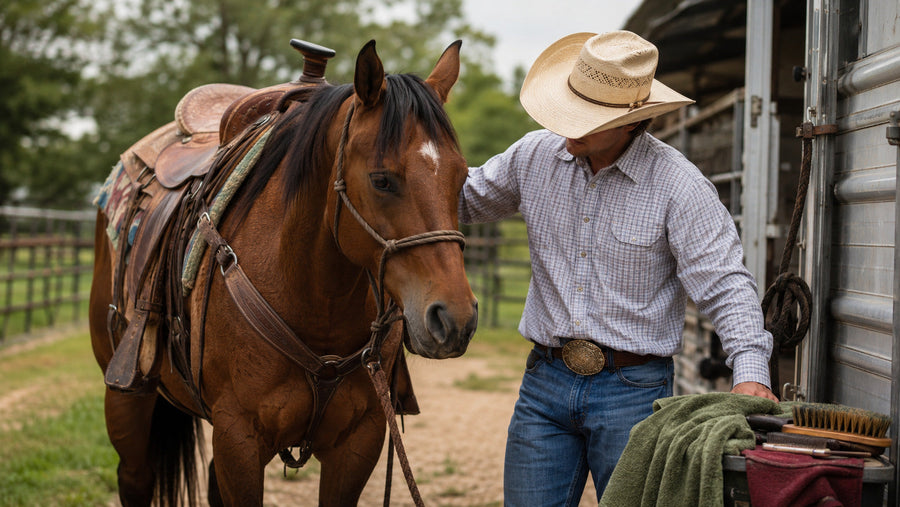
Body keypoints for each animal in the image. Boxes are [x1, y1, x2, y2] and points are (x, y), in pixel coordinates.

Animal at [88, 39, 477, 506]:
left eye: (462, 177)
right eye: (382, 180)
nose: (454, 319)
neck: (315, 299)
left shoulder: (359, 441)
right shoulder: (239, 437)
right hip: (126, 398)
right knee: (135, 476)